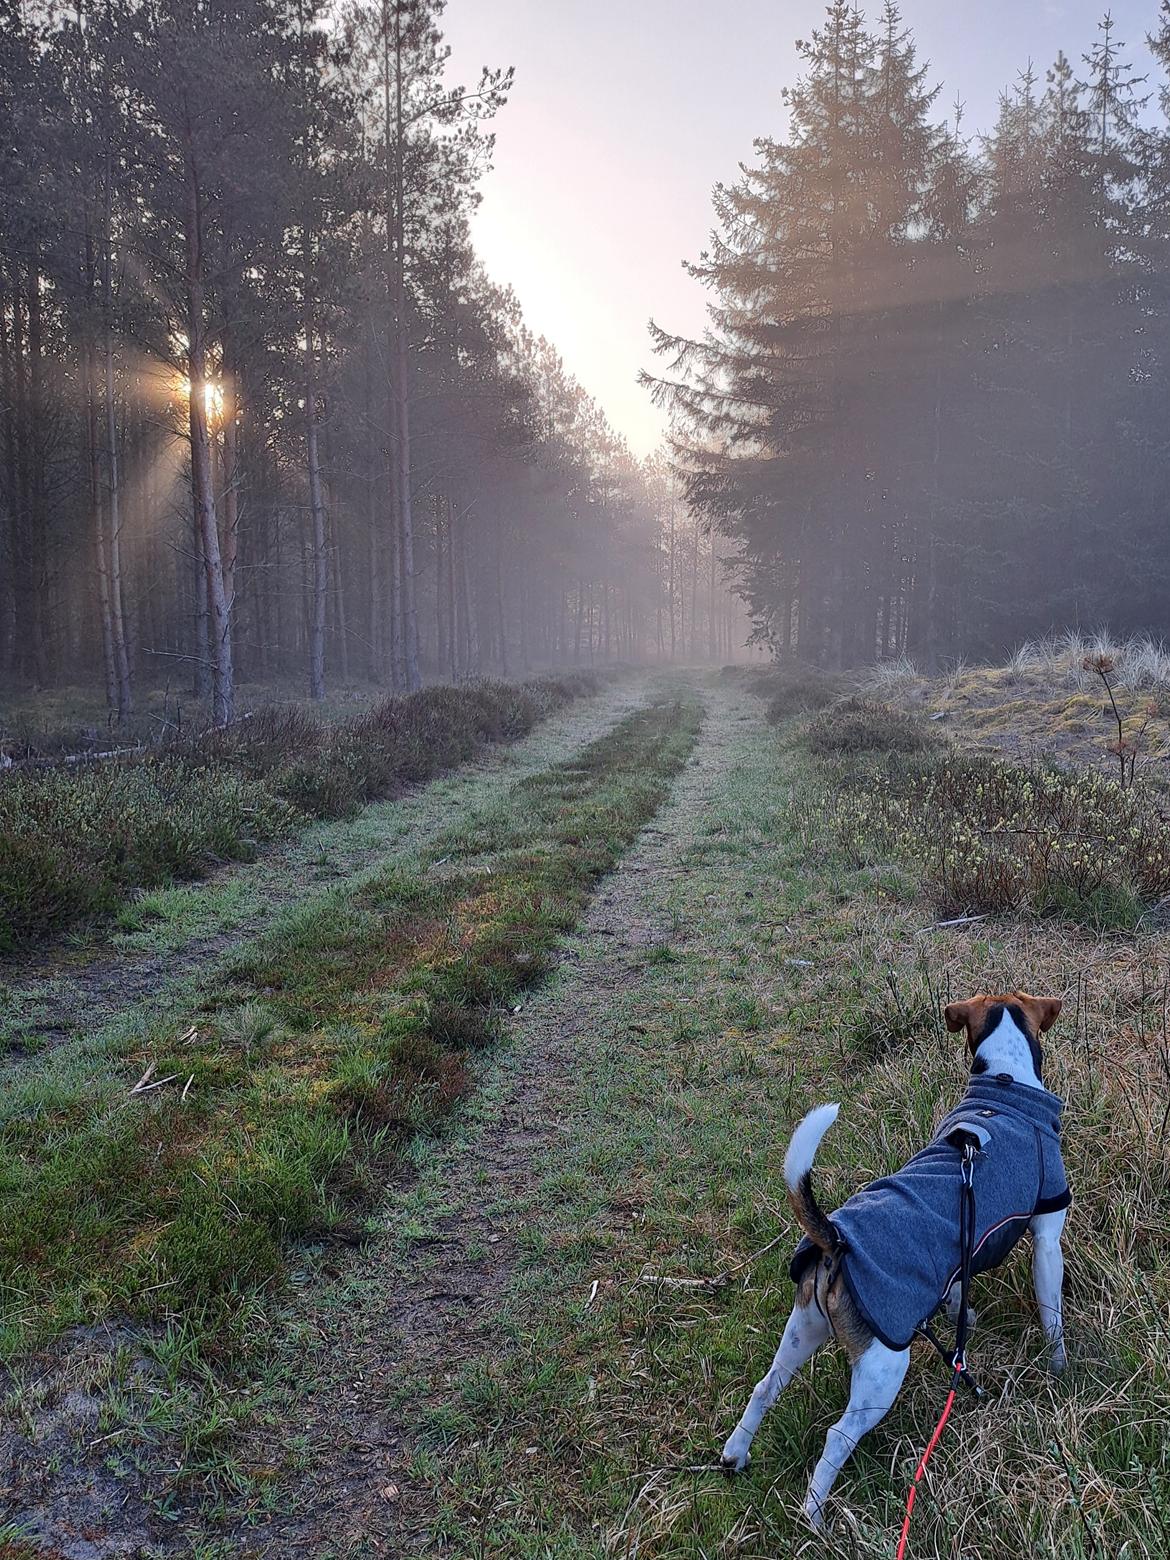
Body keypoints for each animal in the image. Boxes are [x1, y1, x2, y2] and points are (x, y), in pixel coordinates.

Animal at [714, 992, 1073, 1528]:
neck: (1005, 1084)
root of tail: (835, 1241)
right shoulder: (1048, 1240)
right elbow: (1053, 1318)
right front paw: (1061, 1370)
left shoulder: (958, 1254)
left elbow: (956, 1296)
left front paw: (963, 1319)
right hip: (882, 1369)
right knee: (838, 1436)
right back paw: (815, 1517)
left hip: (803, 1330)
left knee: (764, 1388)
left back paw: (736, 1453)